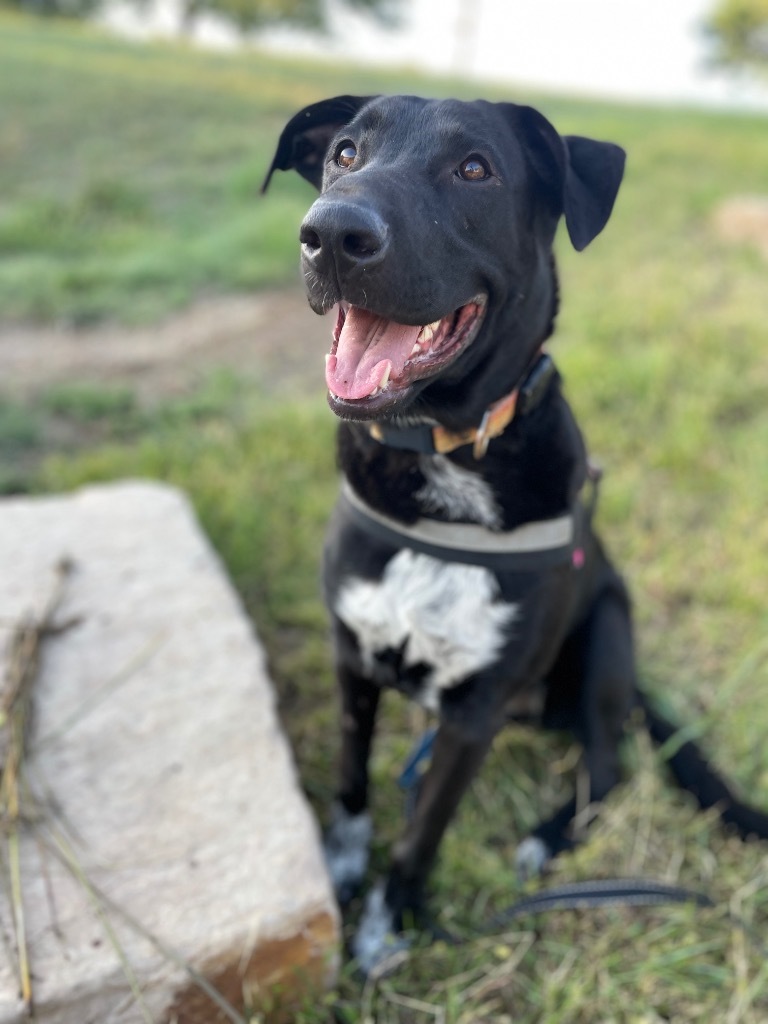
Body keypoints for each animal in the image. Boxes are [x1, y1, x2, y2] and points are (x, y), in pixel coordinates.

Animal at [262, 97, 765, 974]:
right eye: (345, 153)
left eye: (475, 169)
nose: (331, 231)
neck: (443, 462)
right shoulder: (350, 656)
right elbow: (353, 783)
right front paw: (342, 866)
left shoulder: (476, 714)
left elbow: (422, 835)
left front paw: (388, 926)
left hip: (604, 637)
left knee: (609, 766)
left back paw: (547, 839)